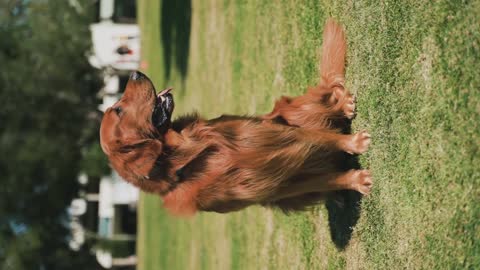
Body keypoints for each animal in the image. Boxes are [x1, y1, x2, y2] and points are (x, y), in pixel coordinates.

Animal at [99, 19, 374, 216]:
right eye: (119, 109)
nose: (134, 73)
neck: (193, 155)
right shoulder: (275, 188)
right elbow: (327, 179)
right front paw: (355, 180)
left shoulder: (276, 134)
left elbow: (324, 138)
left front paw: (353, 144)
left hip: (292, 112)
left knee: (330, 95)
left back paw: (344, 105)